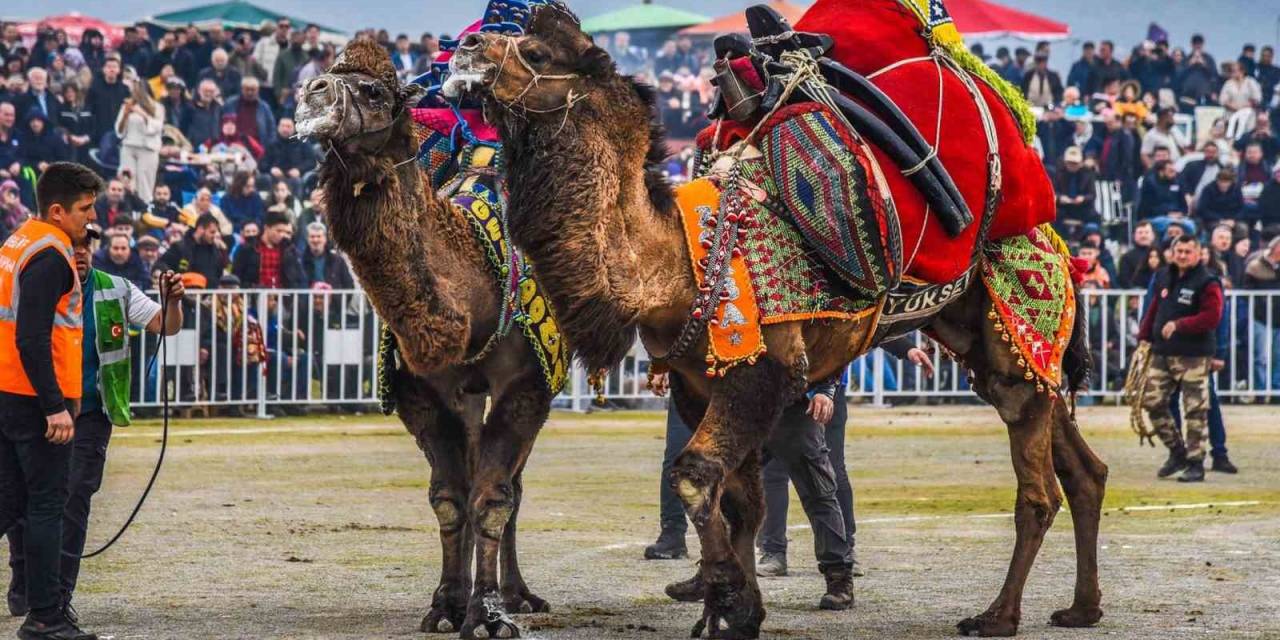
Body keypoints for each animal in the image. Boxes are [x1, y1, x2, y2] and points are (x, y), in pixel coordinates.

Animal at [299, 41, 560, 640]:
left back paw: (519, 596)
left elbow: (492, 498)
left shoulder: (526, 383)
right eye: (324, 73)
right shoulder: (421, 390)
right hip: (466, 395)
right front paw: (447, 604)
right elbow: (449, 498)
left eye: (373, 90)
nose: (310, 95)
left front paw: (488, 613)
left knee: (512, 486)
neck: (474, 288)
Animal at [458, 6, 1111, 640]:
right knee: (1083, 468)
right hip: (991, 344)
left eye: (535, 51)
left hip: (1019, 320)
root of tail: (1057, 242)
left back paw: (997, 616)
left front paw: (726, 597)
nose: (465, 50)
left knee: (1038, 491)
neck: (676, 261)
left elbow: (695, 475)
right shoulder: (699, 382)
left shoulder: (762, 370)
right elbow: (740, 501)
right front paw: (737, 610)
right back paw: (1082, 608)